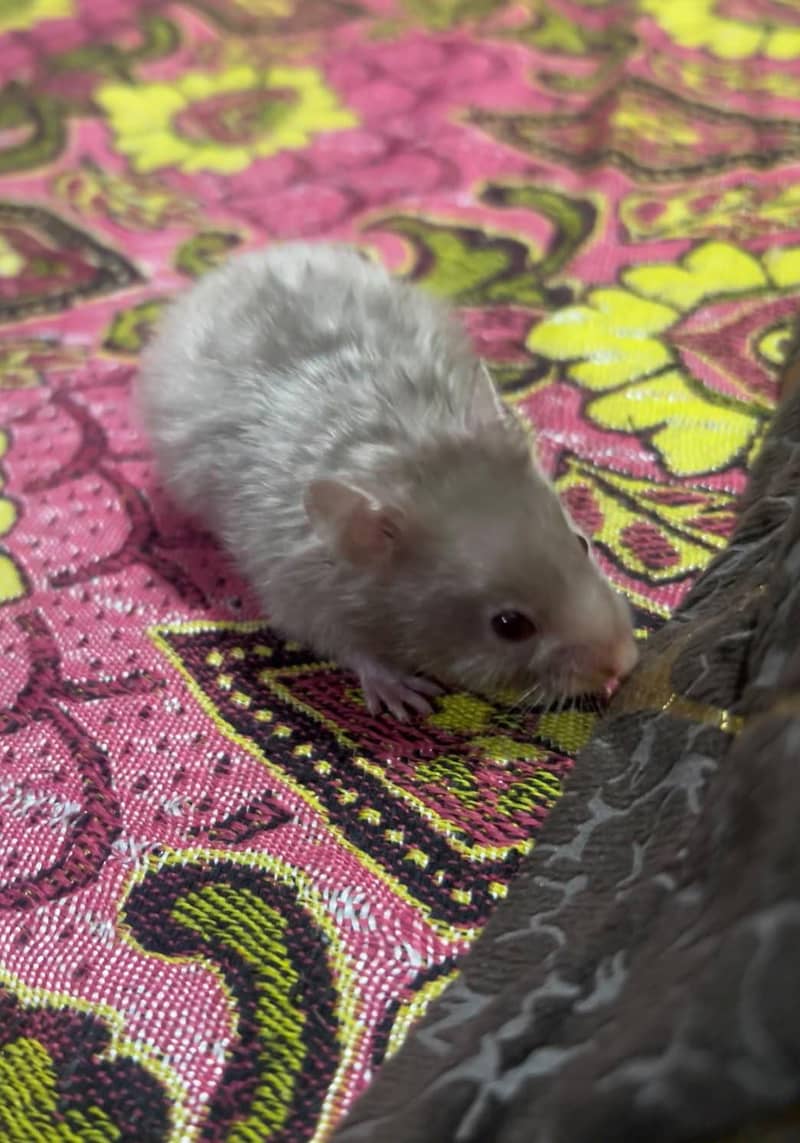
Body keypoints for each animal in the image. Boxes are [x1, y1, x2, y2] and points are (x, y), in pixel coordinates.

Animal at [138, 241, 638, 720]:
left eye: (582, 543)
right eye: (509, 625)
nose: (623, 664)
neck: (404, 456)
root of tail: (240, 265)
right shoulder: (302, 595)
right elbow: (350, 648)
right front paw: (404, 694)